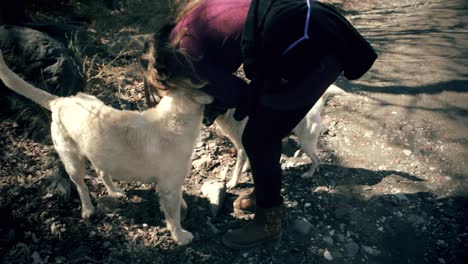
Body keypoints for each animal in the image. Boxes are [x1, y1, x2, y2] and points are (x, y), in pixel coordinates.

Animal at [0, 51, 214, 245]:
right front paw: (180, 237)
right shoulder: (169, 187)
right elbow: (174, 217)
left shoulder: (171, 185)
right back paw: (88, 209)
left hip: (101, 154)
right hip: (73, 163)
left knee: (102, 172)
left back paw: (114, 191)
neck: (175, 118)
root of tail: (61, 101)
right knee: (81, 186)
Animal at [214, 84, 346, 188]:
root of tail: (316, 107)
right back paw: (299, 154)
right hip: (305, 140)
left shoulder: (242, 148)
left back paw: (308, 174)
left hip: (306, 141)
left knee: (316, 160)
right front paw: (248, 167)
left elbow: (237, 169)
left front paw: (233, 183)